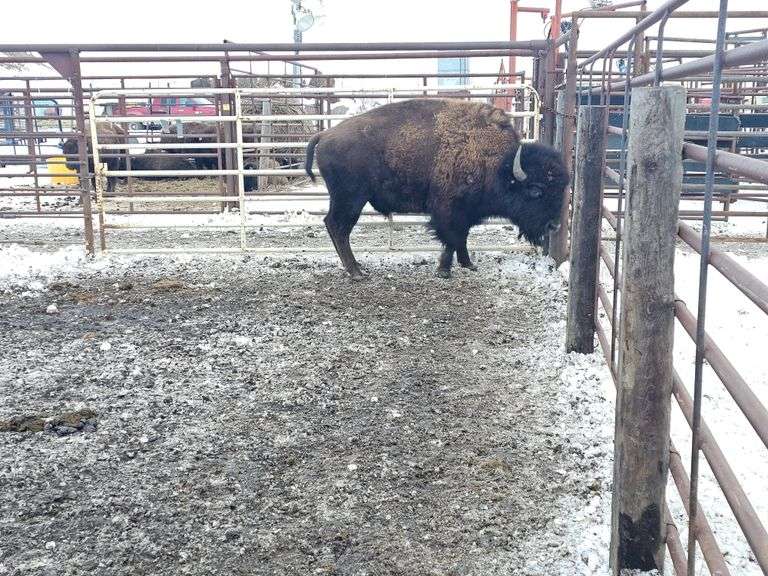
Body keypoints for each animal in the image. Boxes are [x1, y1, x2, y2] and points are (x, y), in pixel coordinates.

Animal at [304, 99, 569, 280]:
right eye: (536, 190)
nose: (554, 225)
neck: (498, 164)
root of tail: (324, 134)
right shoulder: (448, 210)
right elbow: (452, 238)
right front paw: (444, 270)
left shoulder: (466, 213)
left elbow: (462, 238)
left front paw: (467, 264)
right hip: (350, 199)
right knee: (338, 227)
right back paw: (356, 272)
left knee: (334, 226)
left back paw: (355, 268)